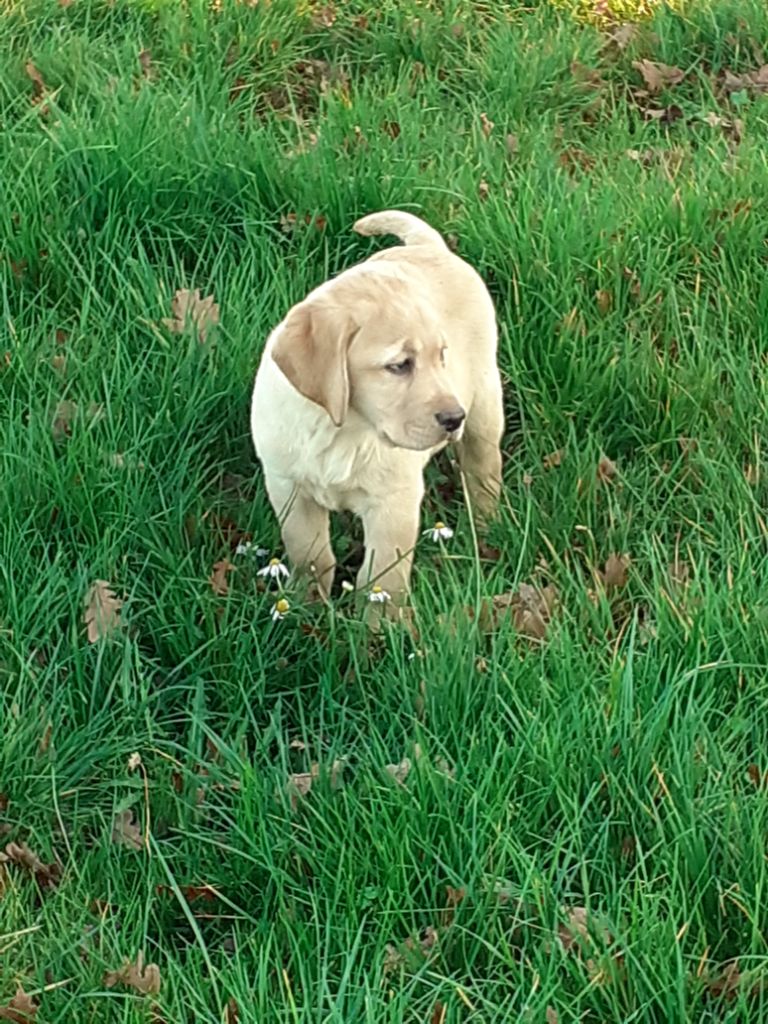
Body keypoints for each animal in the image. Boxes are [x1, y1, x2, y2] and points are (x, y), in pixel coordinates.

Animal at [250, 208, 505, 606]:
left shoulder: (393, 504)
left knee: (483, 473)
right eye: (399, 365)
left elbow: (382, 578)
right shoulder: (287, 486)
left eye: (441, 356)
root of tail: (428, 246)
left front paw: (380, 621)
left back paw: (485, 529)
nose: (453, 418)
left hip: (484, 408)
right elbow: (310, 554)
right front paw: (304, 605)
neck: (339, 427)